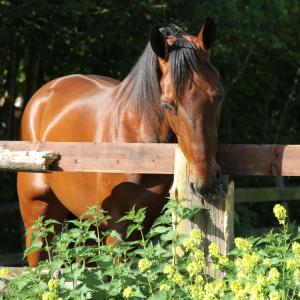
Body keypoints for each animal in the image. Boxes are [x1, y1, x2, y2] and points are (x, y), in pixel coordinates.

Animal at [17, 17, 223, 266]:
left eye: (218, 95)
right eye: (166, 104)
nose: (205, 181)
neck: (139, 147)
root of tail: (43, 95)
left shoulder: (144, 226)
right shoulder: (118, 229)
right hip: (39, 219)